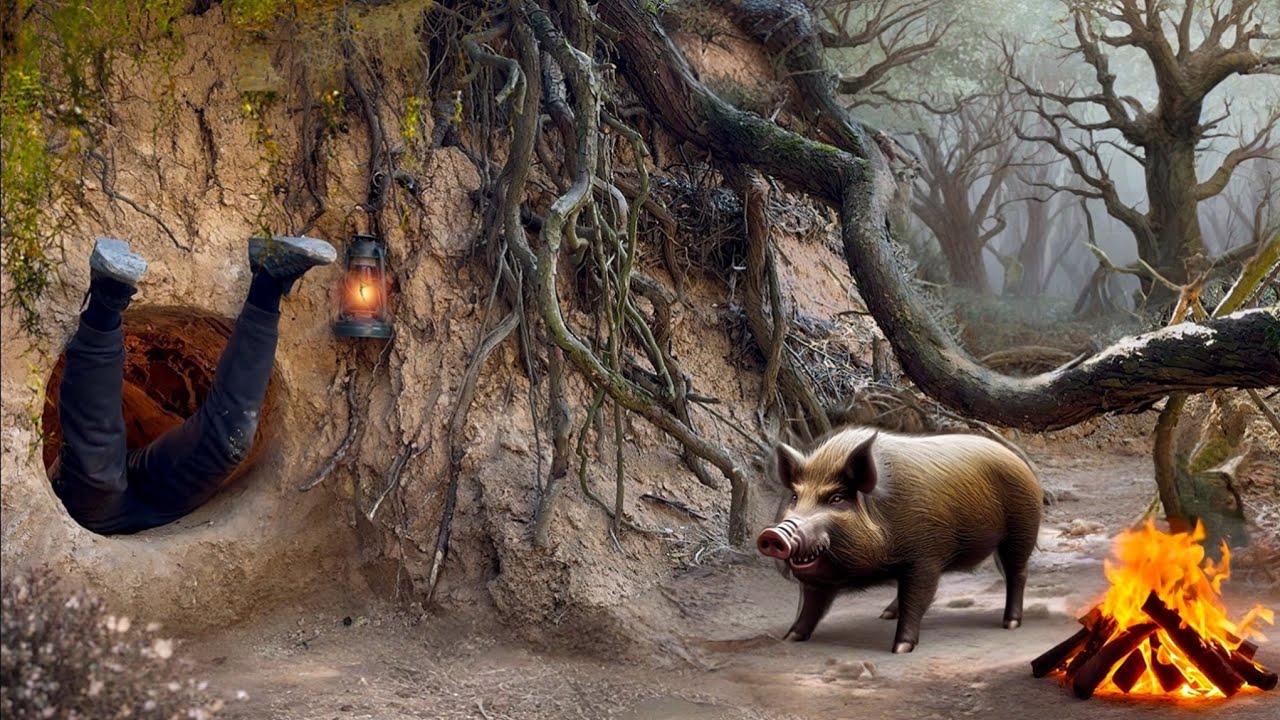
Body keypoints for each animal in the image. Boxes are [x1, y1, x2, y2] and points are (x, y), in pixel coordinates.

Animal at [756, 426, 1043, 653]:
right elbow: (811, 605)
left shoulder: (924, 558)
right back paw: (885, 614)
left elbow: (915, 598)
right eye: (795, 497)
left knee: (1017, 573)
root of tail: (1019, 461)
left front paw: (901, 649)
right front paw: (790, 638)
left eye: (836, 499)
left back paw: (1010, 624)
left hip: (1022, 529)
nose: (773, 533)